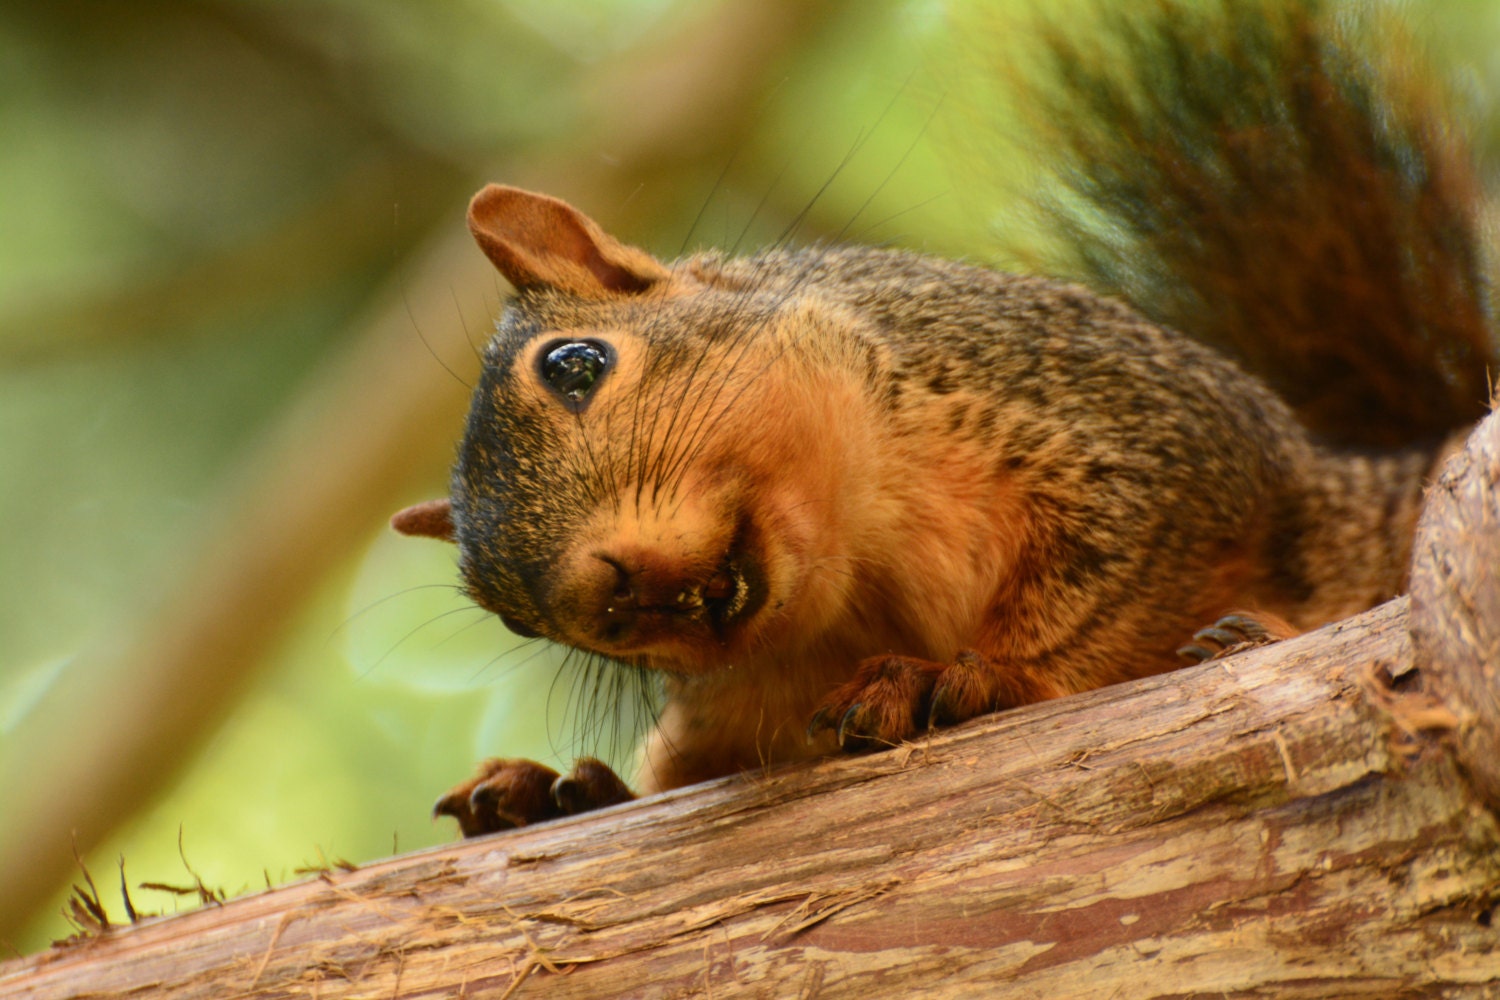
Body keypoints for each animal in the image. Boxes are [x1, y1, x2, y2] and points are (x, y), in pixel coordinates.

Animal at [396, 0, 1500, 839]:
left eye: (575, 364)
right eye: (510, 613)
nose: (608, 598)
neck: (859, 570)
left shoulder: (1141, 427)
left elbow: (1113, 570)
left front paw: (967, 677)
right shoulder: (729, 715)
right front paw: (552, 794)